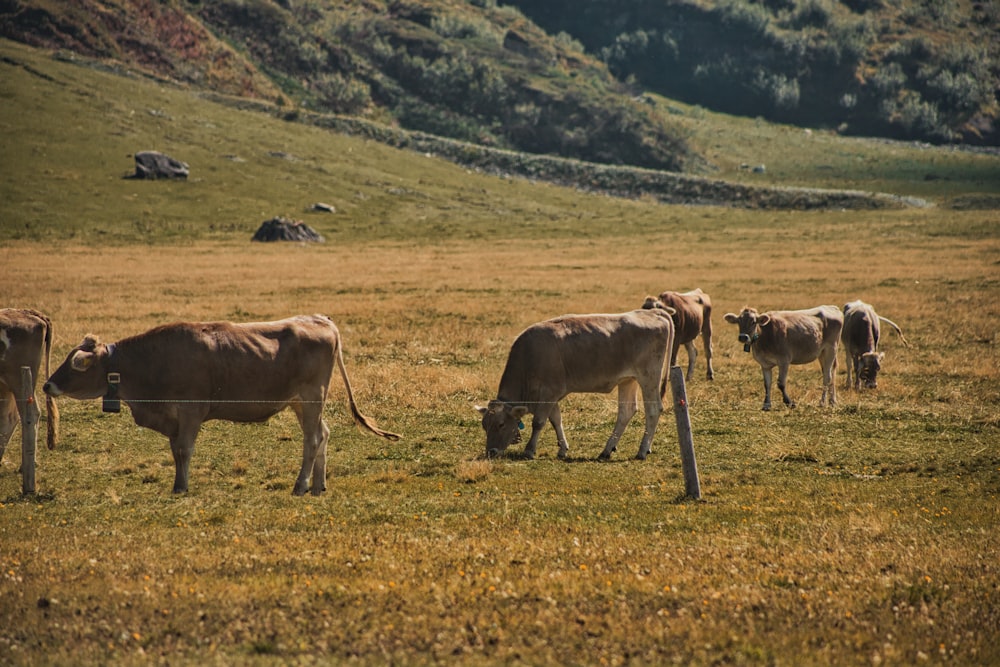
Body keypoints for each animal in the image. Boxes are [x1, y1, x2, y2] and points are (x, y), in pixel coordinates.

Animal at [44, 318, 398, 496]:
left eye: (77, 365)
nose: (47, 385)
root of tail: (320, 320)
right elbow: (175, 450)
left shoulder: (190, 411)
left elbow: (184, 450)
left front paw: (181, 487)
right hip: (302, 402)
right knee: (323, 434)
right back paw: (318, 485)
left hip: (311, 397)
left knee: (312, 440)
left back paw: (300, 485)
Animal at [474, 306, 676, 460]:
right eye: (484, 425)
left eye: (501, 424)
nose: (491, 452)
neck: (529, 357)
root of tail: (653, 312)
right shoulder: (550, 396)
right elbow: (556, 420)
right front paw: (562, 449)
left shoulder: (549, 392)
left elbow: (538, 422)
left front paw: (530, 450)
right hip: (628, 380)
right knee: (626, 412)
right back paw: (606, 450)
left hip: (649, 378)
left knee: (653, 410)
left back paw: (642, 450)